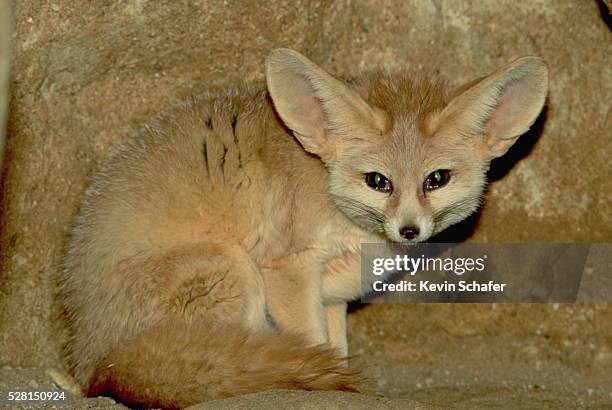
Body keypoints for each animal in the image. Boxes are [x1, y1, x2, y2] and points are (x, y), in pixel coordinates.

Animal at [62, 48, 548, 406]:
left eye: (437, 179)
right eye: (378, 181)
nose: (409, 231)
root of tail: (92, 358)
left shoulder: (331, 296)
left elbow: (334, 349)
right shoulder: (287, 271)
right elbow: (312, 342)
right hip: (234, 271)